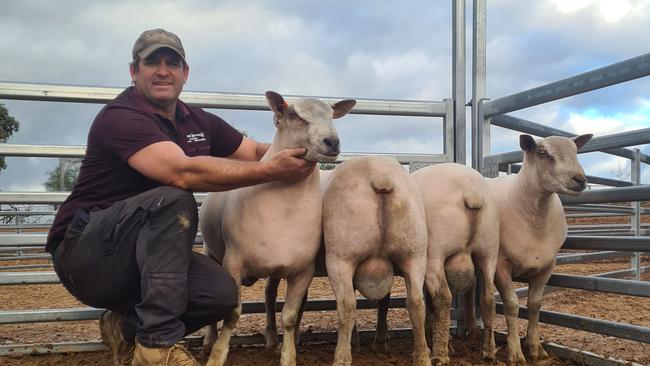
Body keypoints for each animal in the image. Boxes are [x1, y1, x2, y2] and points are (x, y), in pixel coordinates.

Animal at [200, 92, 356, 366]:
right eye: (293, 114)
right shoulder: (233, 264)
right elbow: (232, 314)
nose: (332, 142)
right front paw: (217, 357)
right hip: (212, 252)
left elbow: (290, 317)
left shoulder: (302, 271)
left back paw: (271, 340)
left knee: (269, 297)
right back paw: (208, 341)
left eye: (331, 114)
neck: (285, 211)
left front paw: (288, 356)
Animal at [320, 156, 430, 366]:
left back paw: (342, 357)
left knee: (346, 305)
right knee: (416, 303)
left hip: (341, 256)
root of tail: (379, 173)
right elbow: (384, 301)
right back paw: (422, 356)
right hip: (415, 253)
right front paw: (379, 343)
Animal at [484, 134, 588, 366]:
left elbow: (534, 304)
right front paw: (515, 353)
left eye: (576, 151)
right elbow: (512, 305)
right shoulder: (501, 265)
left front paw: (535, 348)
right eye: (543, 153)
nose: (580, 179)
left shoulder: (547, 265)